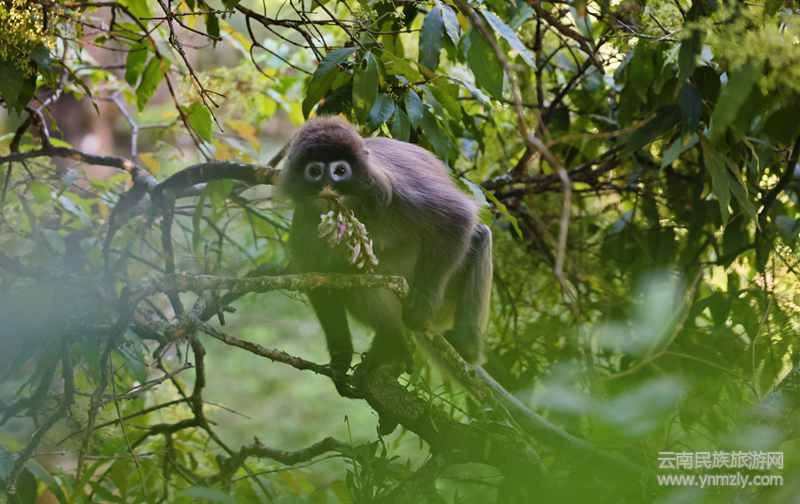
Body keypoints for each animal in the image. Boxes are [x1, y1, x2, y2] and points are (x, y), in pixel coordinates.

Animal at [279, 116, 492, 381]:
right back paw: (391, 345)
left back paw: (466, 345)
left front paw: (421, 306)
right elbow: (318, 281)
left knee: (479, 235)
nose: (328, 187)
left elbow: (458, 217)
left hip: (445, 304)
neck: (355, 208)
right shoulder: (304, 222)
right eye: (315, 172)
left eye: (340, 171)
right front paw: (341, 357)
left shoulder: (398, 189)